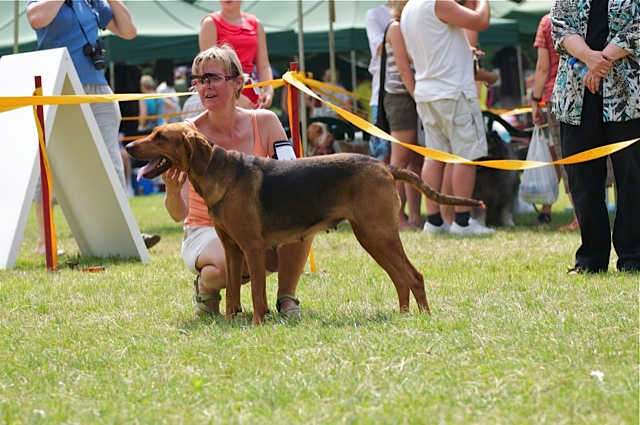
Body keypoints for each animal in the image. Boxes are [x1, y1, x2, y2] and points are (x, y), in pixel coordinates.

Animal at [126, 122, 484, 324]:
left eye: (160, 136)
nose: (127, 146)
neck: (220, 173)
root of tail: (383, 166)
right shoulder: (231, 249)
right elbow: (232, 296)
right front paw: (229, 322)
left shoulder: (252, 248)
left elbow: (257, 294)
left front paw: (257, 325)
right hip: (371, 238)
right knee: (401, 279)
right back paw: (404, 315)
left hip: (380, 235)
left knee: (414, 276)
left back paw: (423, 319)